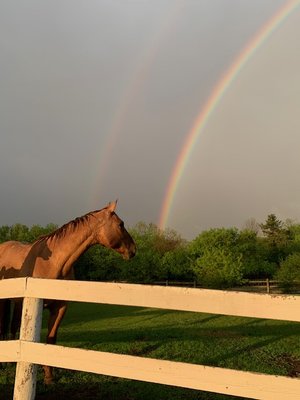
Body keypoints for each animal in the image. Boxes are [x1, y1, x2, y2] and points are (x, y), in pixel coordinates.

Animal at [0, 202, 135, 382]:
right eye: (121, 224)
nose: (133, 249)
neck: (54, 263)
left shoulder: (60, 308)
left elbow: (51, 339)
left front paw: (49, 377)